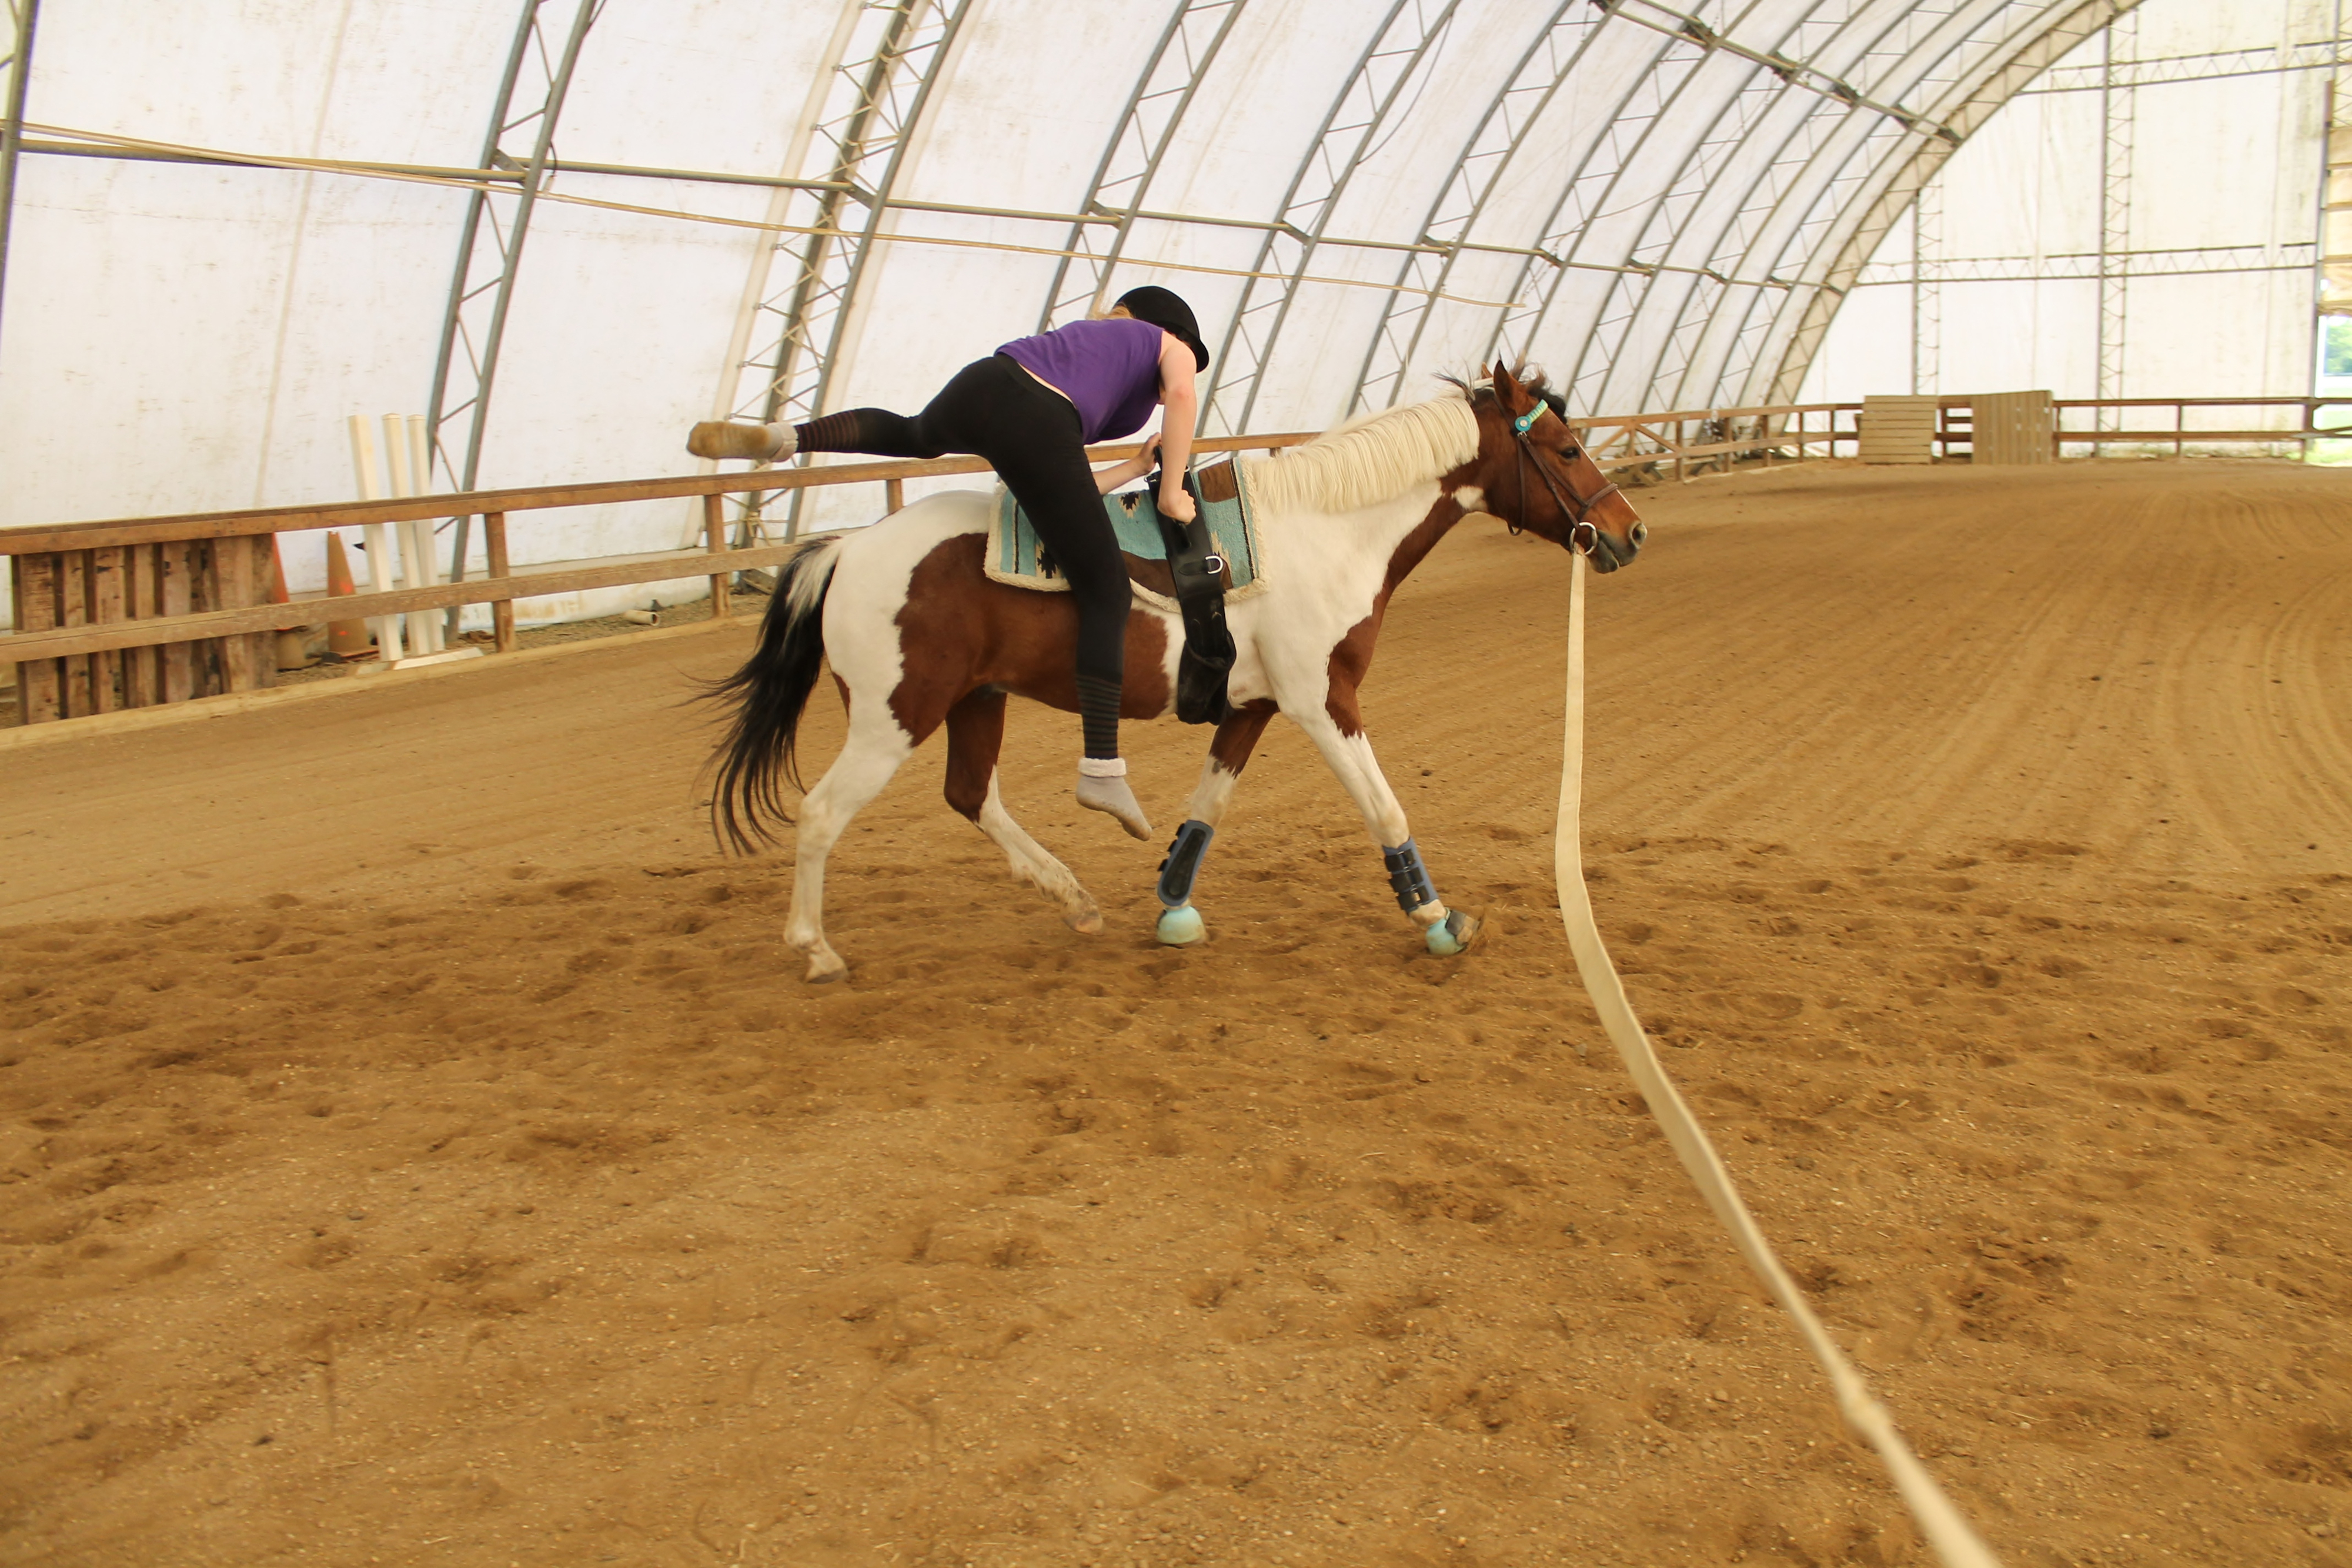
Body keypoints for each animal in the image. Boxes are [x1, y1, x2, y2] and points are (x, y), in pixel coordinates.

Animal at [705, 362, 1645, 983]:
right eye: (1565, 448)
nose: (1628, 531)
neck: (1323, 531)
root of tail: (846, 548)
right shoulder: (1323, 700)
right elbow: (1384, 807)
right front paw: (1438, 917)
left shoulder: (1254, 705)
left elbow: (1209, 807)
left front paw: (1173, 904)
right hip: (892, 716)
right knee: (823, 814)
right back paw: (816, 949)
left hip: (974, 701)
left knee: (972, 795)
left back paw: (1072, 896)